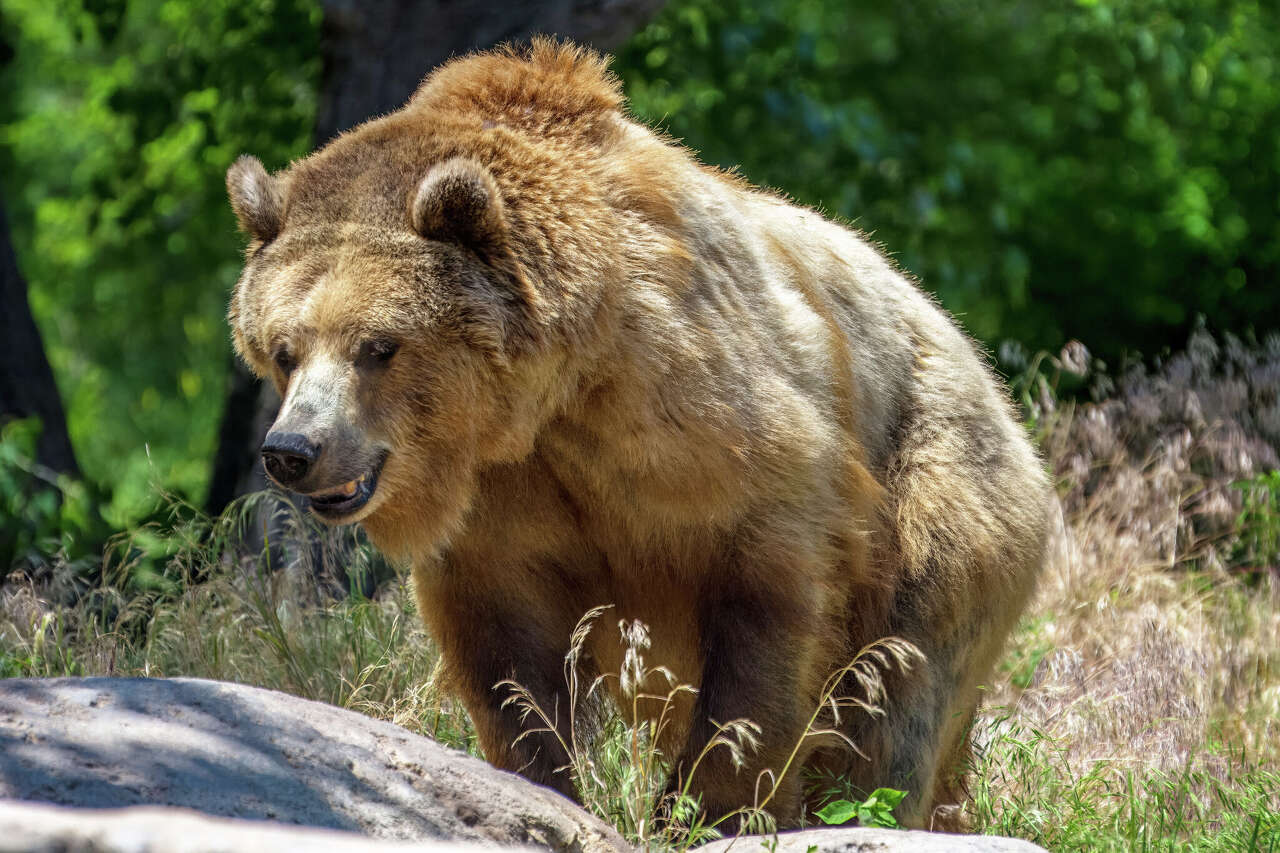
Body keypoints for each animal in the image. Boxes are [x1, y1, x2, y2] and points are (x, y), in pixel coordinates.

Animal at [225, 40, 1051, 830]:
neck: (551, 399)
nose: (293, 451)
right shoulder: (500, 507)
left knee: (895, 695)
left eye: (379, 345)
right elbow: (507, 660)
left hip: (937, 482)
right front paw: (545, 777)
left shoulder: (712, 427)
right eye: (283, 348)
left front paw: (711, 804)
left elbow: (769, 613)